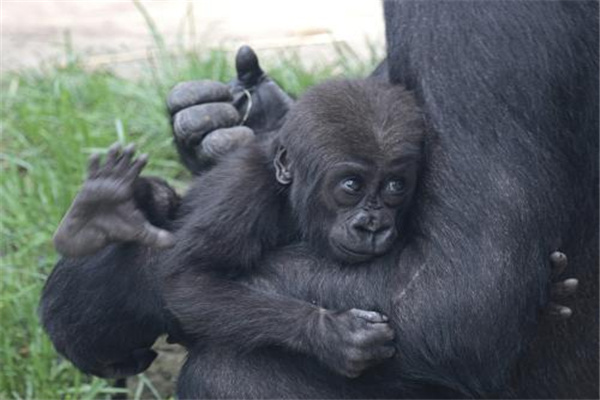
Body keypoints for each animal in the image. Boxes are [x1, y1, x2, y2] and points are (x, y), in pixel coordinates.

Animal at [39, 1, 596, 398]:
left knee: (233, 373)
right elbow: (189, 280)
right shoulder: (245, 197)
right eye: (349, 187)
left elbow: (464, 295)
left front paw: (102, 287)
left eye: (394, 188)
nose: (372, 224)